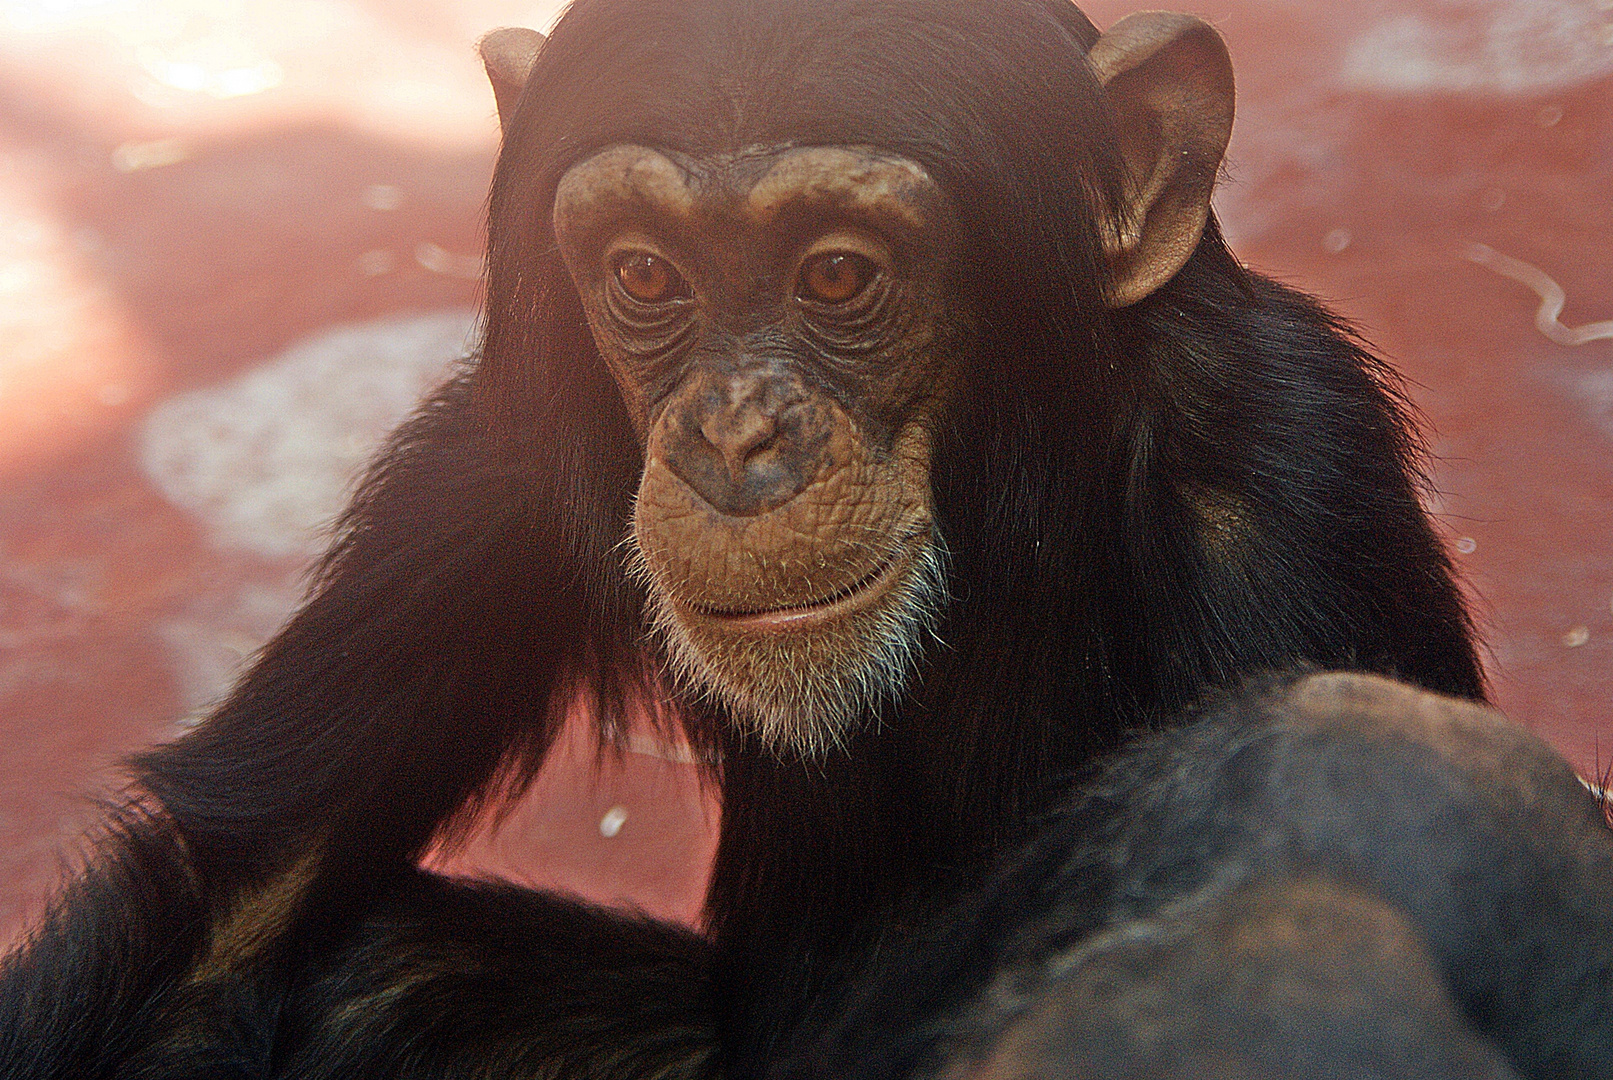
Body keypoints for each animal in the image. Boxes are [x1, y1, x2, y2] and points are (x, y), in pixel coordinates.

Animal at [6, 0, 1606, 1076]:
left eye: (839, 276)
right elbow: (239, 904)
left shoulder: (1289, 477)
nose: (730, 437)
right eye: (645, 275)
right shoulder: (497, 455)